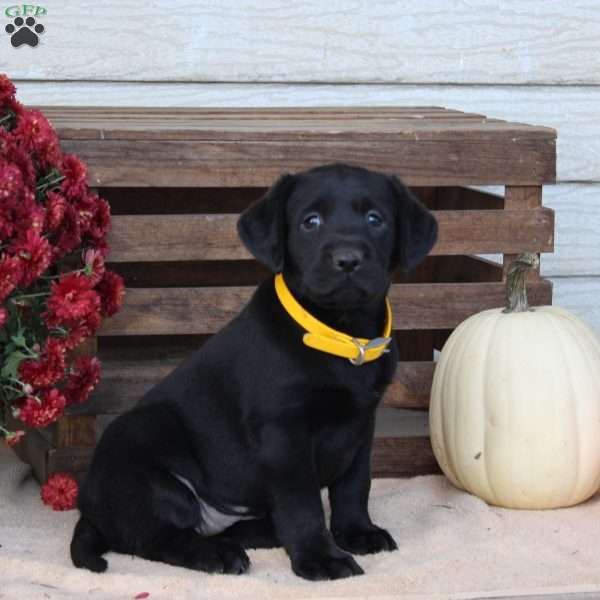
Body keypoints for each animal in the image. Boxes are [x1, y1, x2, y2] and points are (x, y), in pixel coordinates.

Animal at [70, 162, 438, 580]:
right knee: (157, 539)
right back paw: (217, 554)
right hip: (143, 449)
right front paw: (320, 557)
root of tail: (89, 507)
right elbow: (303, 504)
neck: (341, 334)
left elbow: (354, 486)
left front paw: (357, 532)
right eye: (310, 222)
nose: (347, 259)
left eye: (376, 219)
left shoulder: (362, 424)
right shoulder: (284, 433)